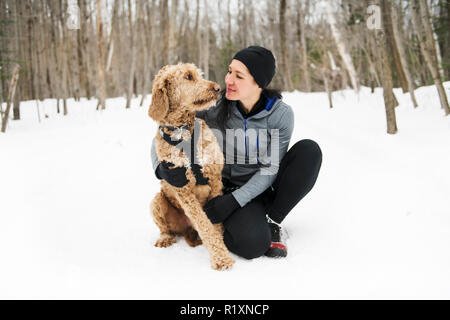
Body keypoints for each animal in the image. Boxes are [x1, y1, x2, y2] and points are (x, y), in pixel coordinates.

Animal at [149, 62, 236, 270]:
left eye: (199, 74)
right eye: (188, 76)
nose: (218, 88)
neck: (184, 134)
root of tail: (186, 228)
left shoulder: (214, 179)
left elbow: (215, 221)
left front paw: (222, 250)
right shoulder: (183, 189)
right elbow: (204, 224)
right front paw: (221, 258)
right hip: (157, 201)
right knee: (167, 229)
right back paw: (164, 239)